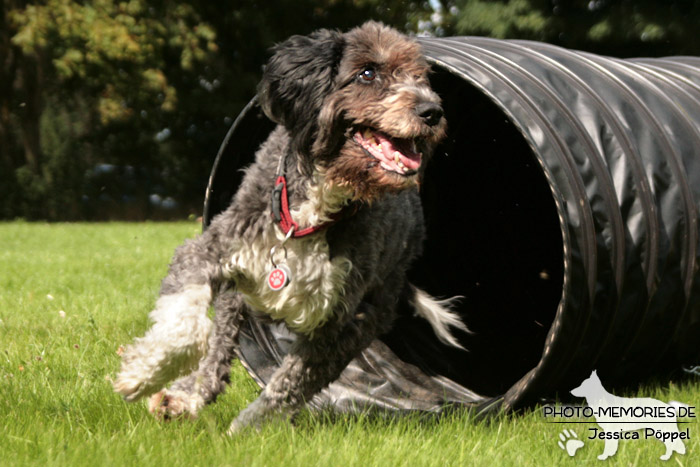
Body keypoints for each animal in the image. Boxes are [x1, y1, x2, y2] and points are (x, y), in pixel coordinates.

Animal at [113, 20, 464, 434]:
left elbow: (291, 381)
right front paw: (142, 374)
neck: (314, 210)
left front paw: (251, 428)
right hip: (237, 293)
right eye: (367, 73)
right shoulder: (209, 251)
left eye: (420, 77)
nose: (433, 111)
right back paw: (185, 394)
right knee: (218, 345)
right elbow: (186, 326)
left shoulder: (344, 321)